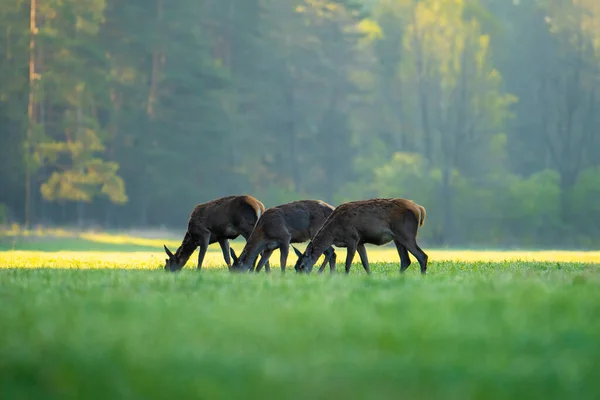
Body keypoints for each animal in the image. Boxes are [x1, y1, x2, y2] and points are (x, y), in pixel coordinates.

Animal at [294, 198, 426, 276]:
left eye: (302, 266)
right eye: (295, 267)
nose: (300, 279)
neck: (334, 234)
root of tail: (420, 209)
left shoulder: (352, 238)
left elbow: (348, 263)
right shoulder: (360, 241)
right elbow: (365, 263)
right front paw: (370, 277)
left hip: (405, 233)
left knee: (422, 256)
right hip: (398, 238)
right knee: (405, 260)